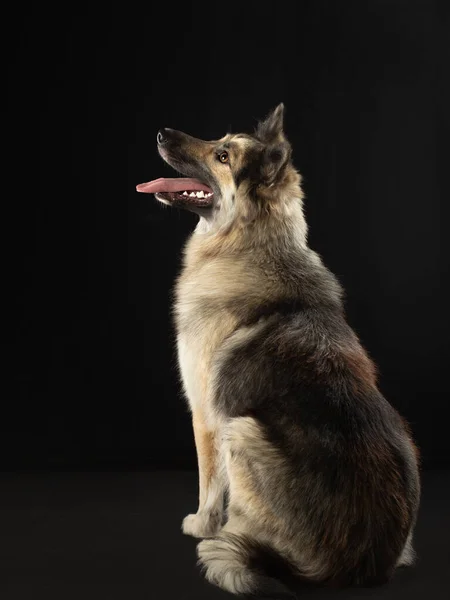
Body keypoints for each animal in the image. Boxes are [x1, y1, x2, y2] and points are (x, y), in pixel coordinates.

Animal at [135, 105, 420, 596]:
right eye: (220, 142)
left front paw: (201, 524)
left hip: (242, 431)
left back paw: (229, 541)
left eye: (223, 155)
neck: (248, 243)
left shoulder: (206, 415)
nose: (161, 132)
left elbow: (208, 482)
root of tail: (354, 565)